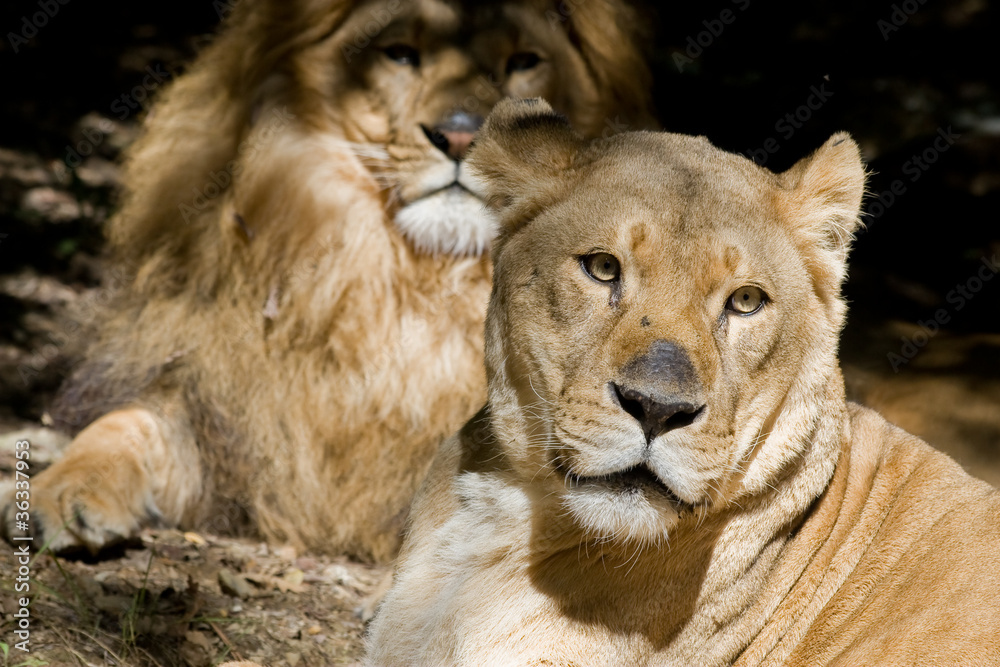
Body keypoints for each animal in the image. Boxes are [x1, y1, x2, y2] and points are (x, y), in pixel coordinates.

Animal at [1, 1, 655, 562]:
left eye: (523, 61)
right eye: (399, 54)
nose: (463, 136)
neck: (409, 285)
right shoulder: (217, 398)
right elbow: (126, 423)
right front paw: (60, 491)